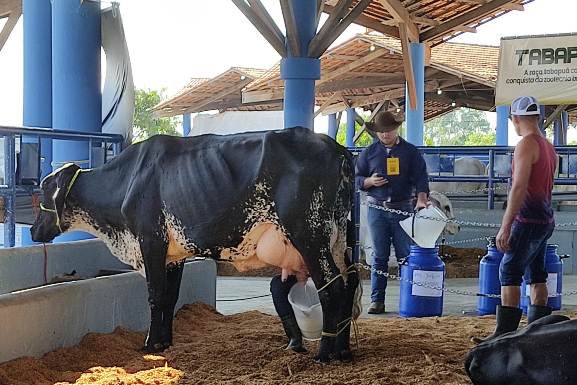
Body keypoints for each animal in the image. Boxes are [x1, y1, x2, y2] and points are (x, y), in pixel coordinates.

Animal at [31, 127, 358, 362]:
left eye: (45, 189)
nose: (33, 230)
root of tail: (337, 148)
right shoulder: (173, 255)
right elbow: (169, 298)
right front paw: (165, 342)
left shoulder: (150, 240)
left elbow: (154, 295)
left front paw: (149, 344)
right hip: (339, 239)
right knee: (349, 282)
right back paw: (343, 351)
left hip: (309, 234)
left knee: (332, 288)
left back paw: (324, 355)